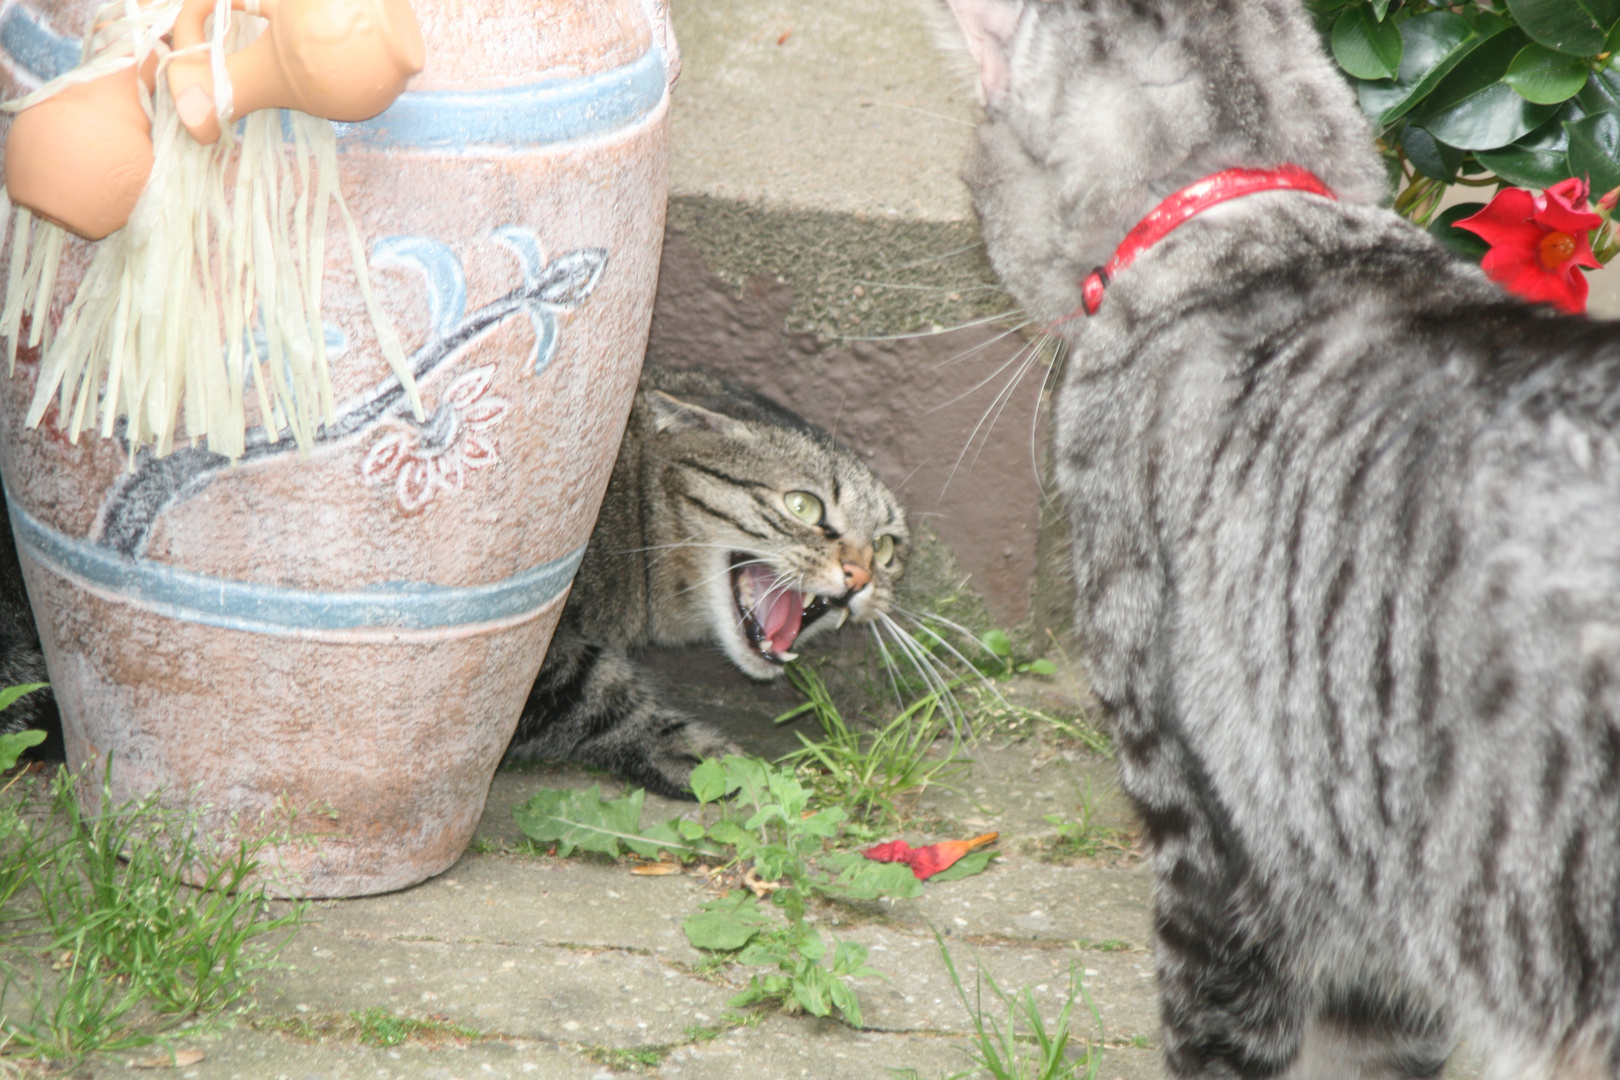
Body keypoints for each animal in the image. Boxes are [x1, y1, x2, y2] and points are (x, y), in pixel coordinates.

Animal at [502, 367, 907, 799]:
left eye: (884, 548)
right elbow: (592, 690)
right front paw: (687, 749)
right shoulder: (534, 644)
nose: (861, 576)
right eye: (802, 506)